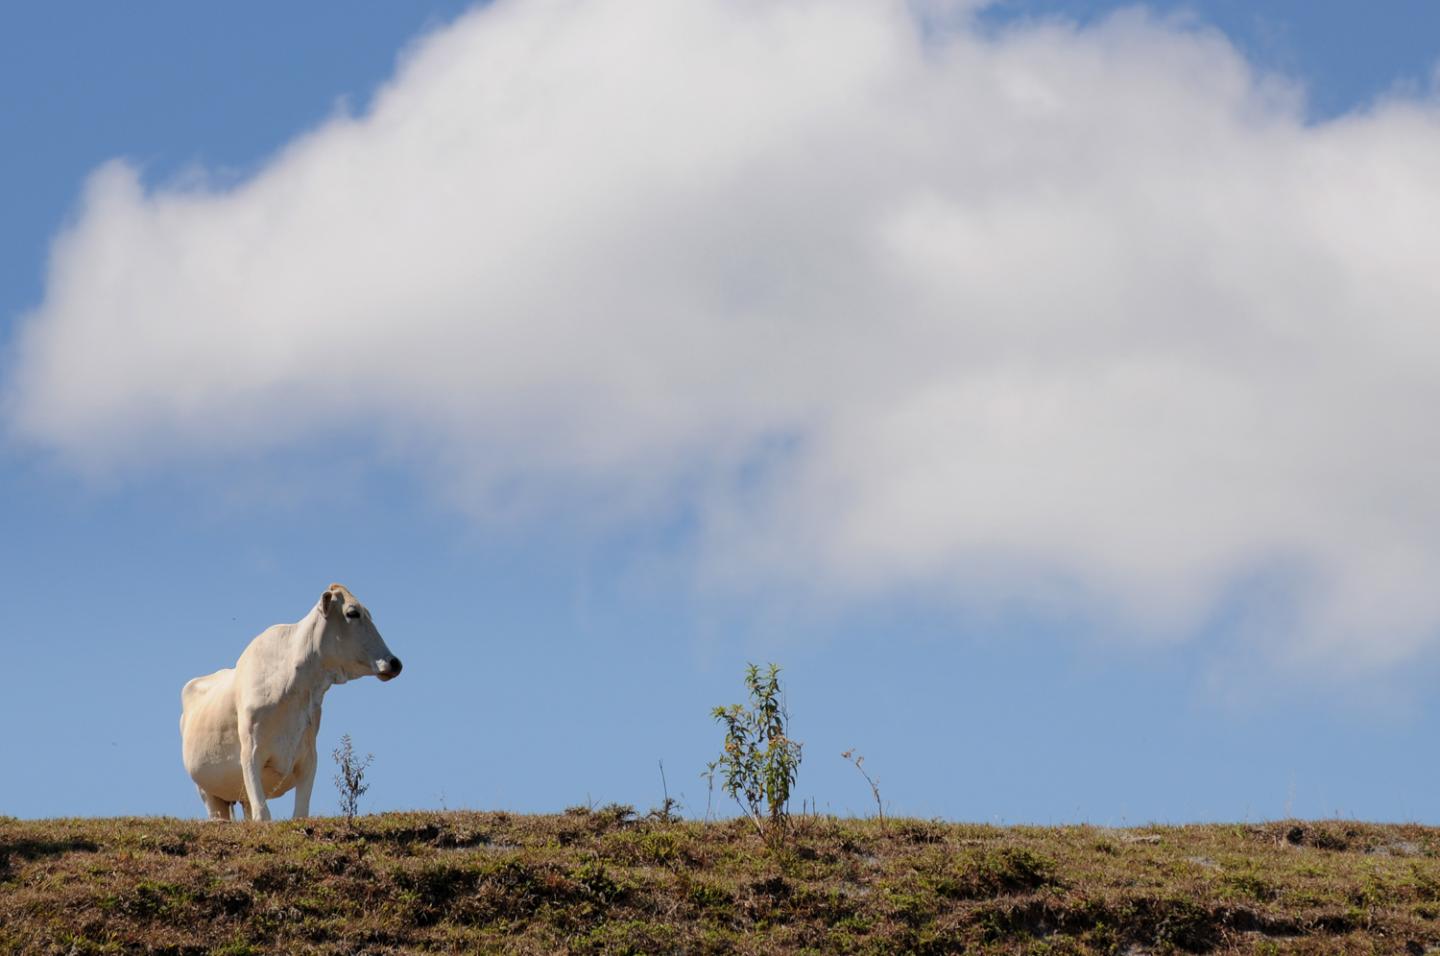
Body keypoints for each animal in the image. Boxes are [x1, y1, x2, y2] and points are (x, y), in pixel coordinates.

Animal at [182, 581, 406, 823]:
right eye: (352, 613)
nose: (394, 662)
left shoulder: (309, 758)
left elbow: (299, 813)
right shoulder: (250, 752)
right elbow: (263, 814)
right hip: (207, 791)